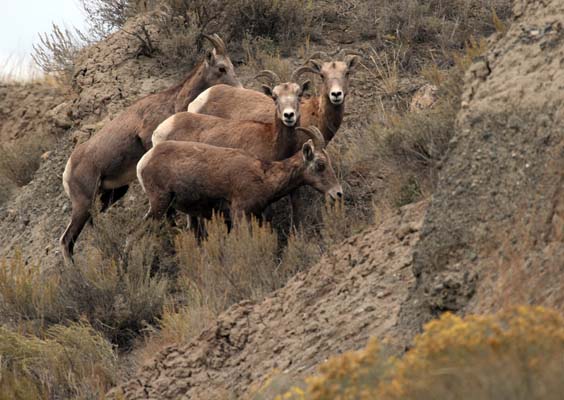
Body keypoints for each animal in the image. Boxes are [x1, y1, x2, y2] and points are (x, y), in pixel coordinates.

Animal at [60, 32, 241, 260]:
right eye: (221, 68)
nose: (241, 89)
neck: (172, 102)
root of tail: (68, 169)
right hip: (83, 204)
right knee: (66, 240)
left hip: (111, 194)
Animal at [138, 127, 340, 222]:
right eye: (320, 164)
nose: (338, 193)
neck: (264, 176)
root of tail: (143, 162)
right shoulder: (239, 213)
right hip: (159, 203)